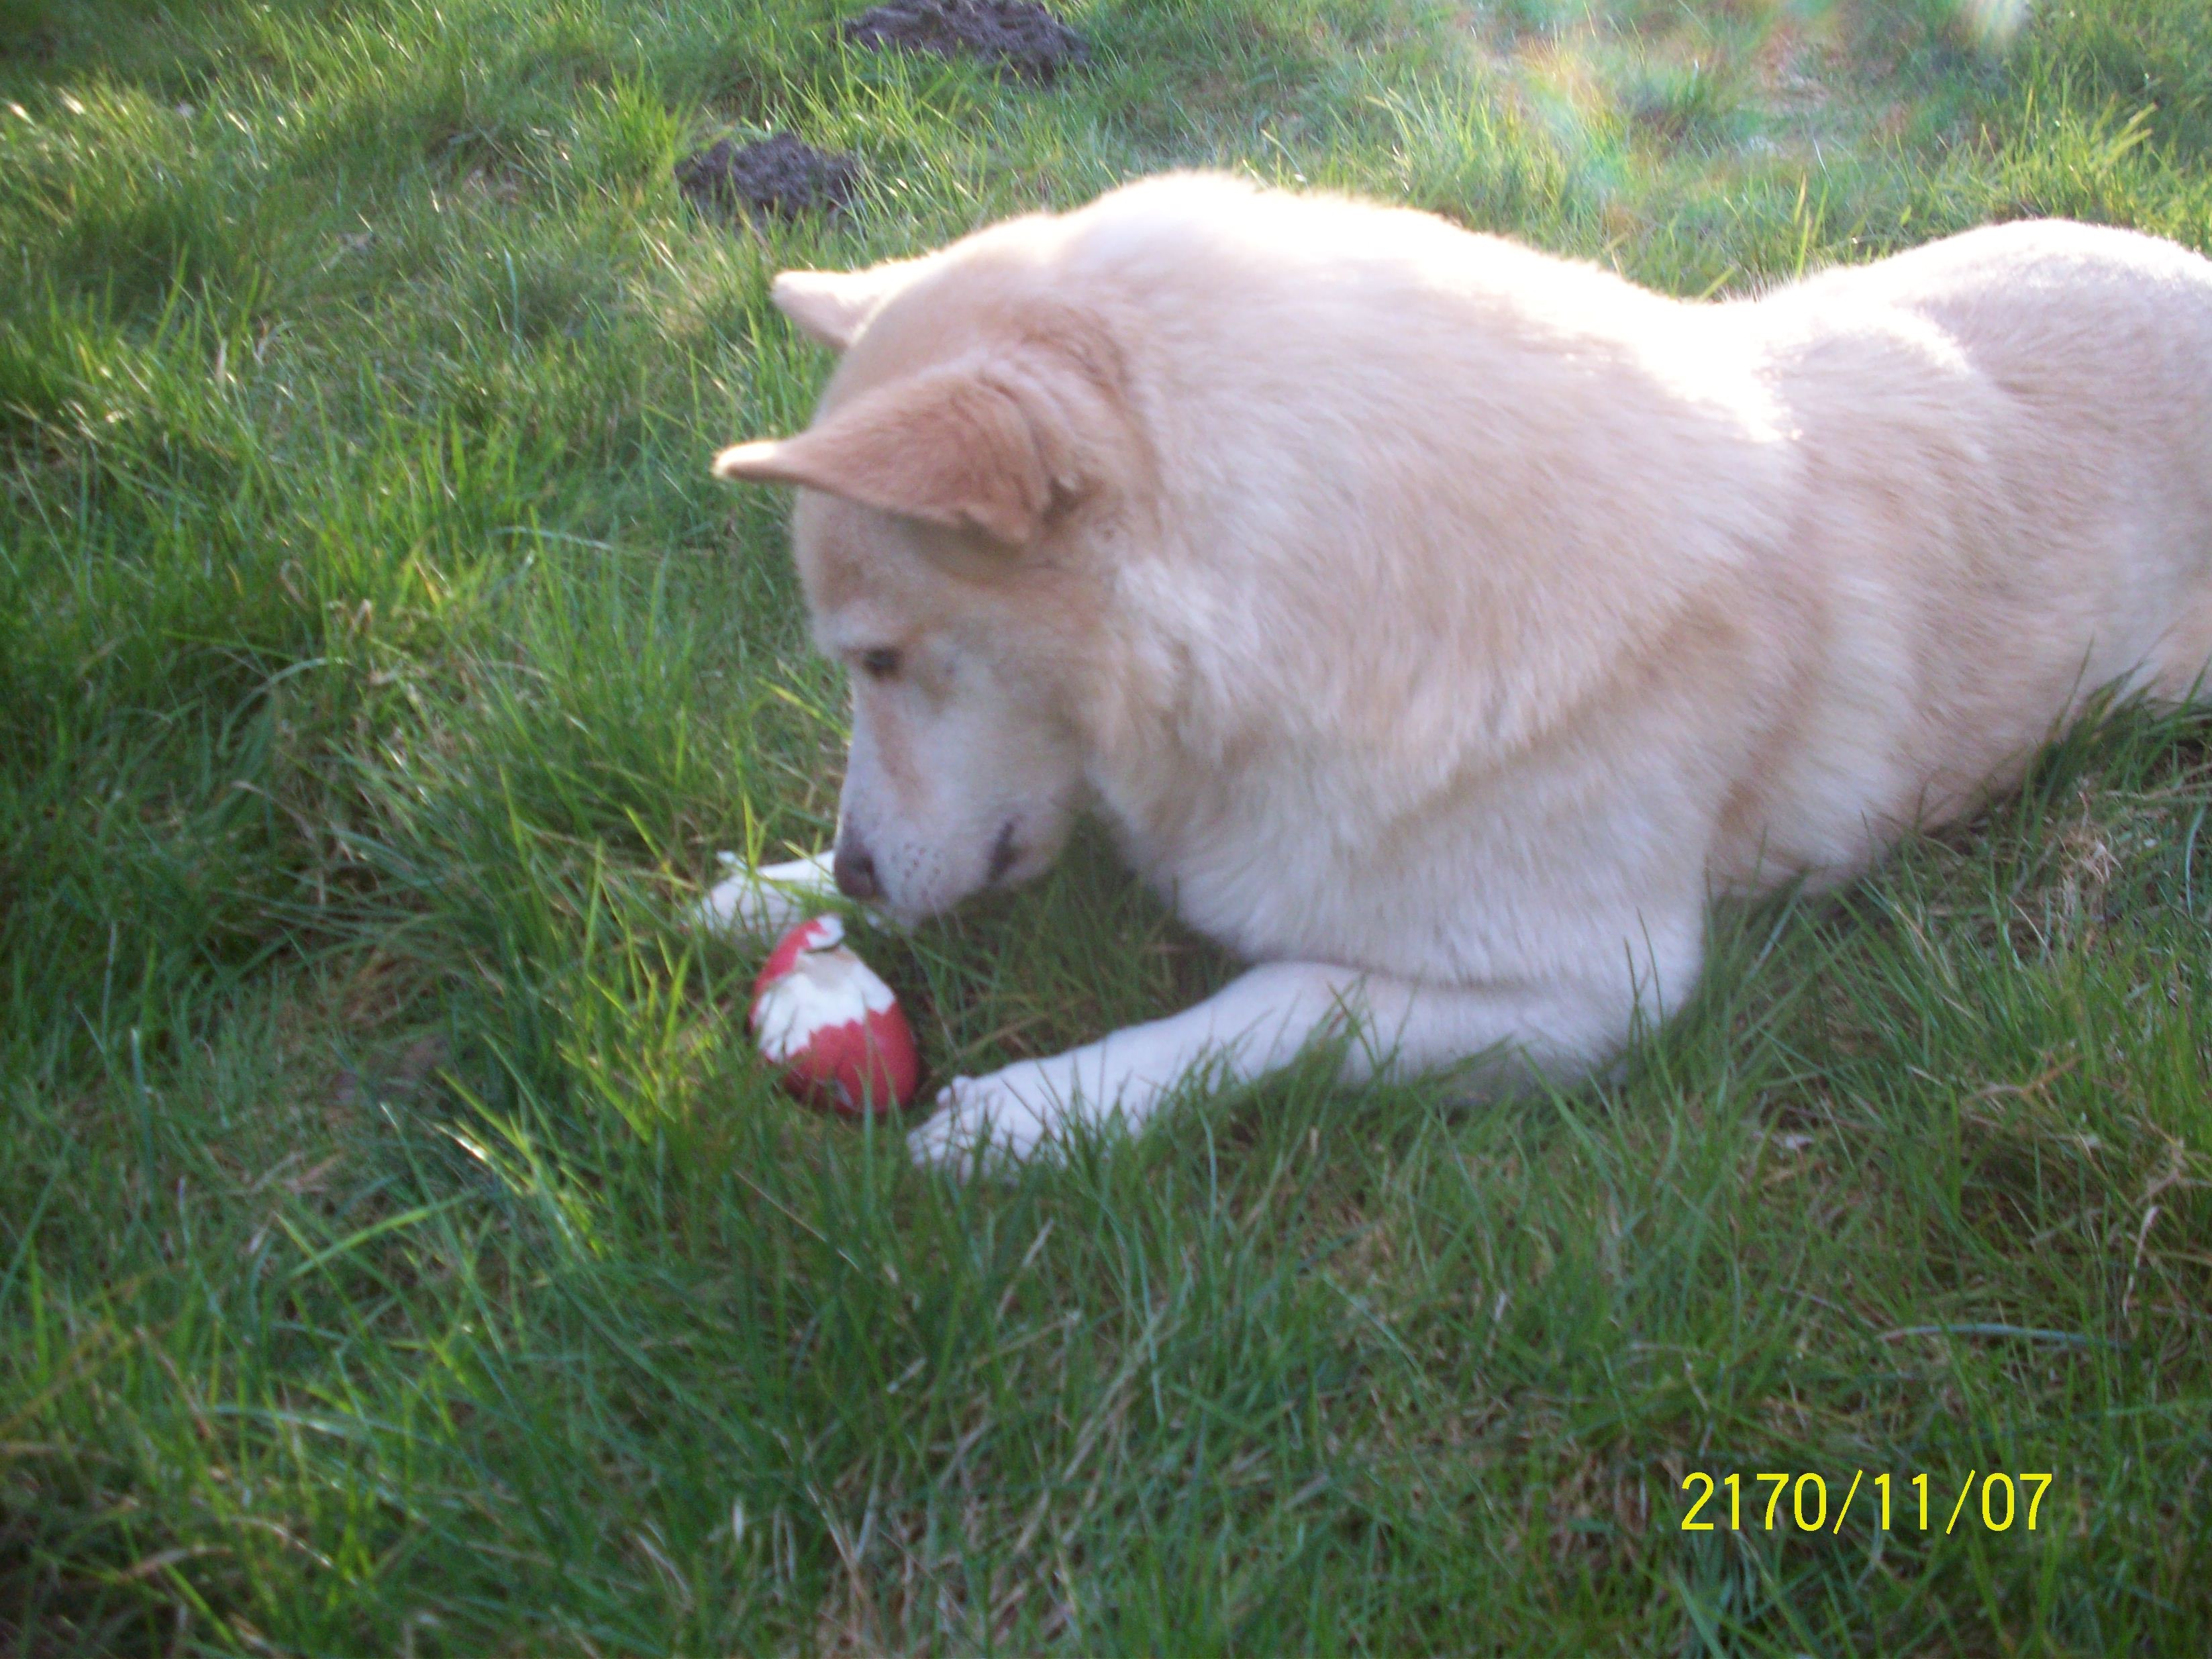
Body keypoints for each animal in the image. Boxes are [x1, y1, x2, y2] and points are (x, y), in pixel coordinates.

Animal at [707, 172, 2212, 1172]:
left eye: (880, 658)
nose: (857, 877)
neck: (1326, 603)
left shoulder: (1601, 994)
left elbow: (1284, 1000)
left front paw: (1042, 1108)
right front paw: (768, 892)